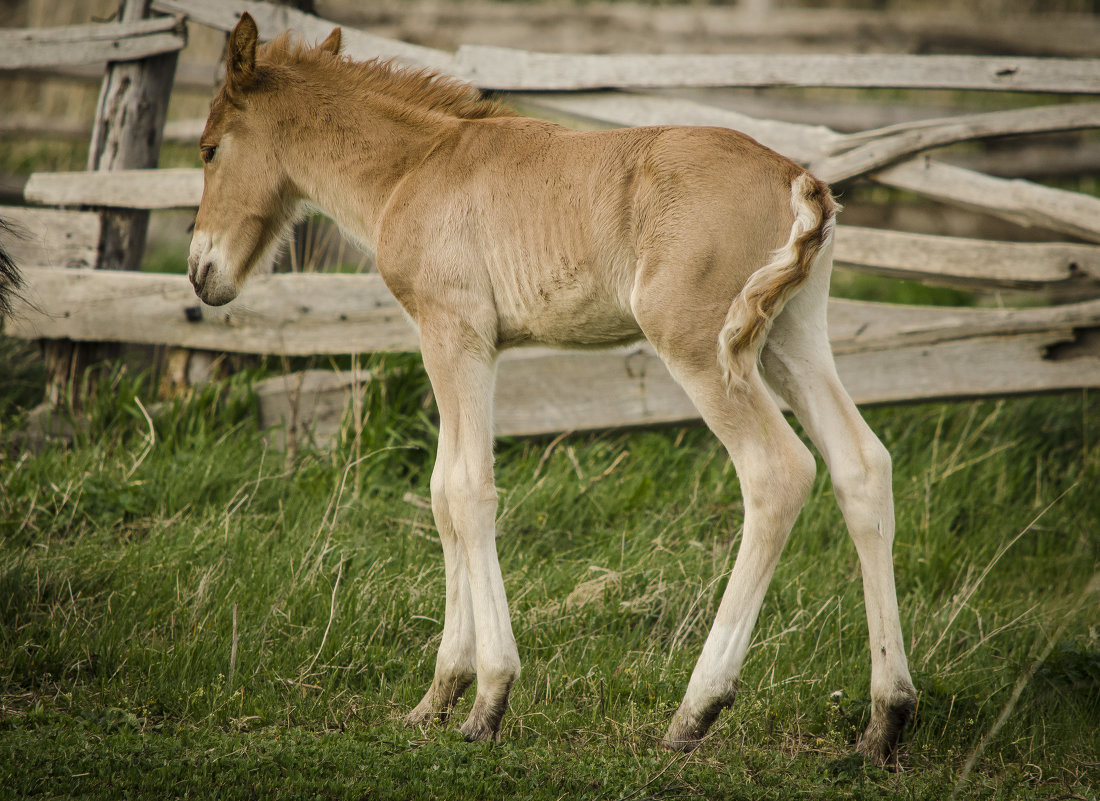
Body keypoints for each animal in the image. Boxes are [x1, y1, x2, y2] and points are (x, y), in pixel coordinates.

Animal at [191, 12, 919, 761]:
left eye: (209, 149)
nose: (200, 273)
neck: (415, 169)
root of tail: (799, 179)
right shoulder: (462, 343)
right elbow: (442, 492)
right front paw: (435, 698)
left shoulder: (455, 333)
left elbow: (468, 491)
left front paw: (487, 701)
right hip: (789, 339)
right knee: (861, 466)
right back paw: (885, 719)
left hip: (699, 346)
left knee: (777, 472)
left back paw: (694, 711)